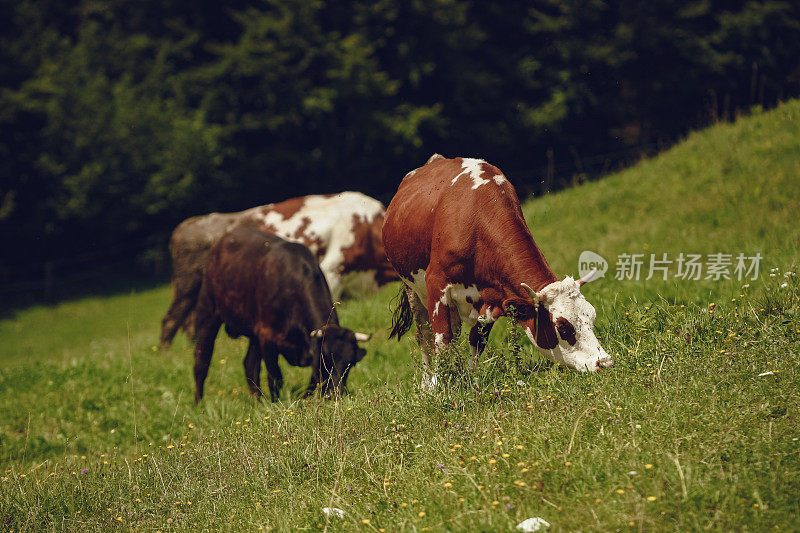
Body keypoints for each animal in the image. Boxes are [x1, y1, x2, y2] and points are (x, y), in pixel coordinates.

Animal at [192, 225, 370, 404]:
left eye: (350, 363)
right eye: (325, 359)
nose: (334, 394)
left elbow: (313, 382)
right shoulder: (268, 337)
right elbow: (276, 377)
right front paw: (275, 404)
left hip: (253, 330)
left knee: (249, 365)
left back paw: (257, 401)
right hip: (208, 311)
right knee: (202, 360)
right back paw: (199, 404)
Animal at [382, 152, 612, 384]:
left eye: (592, 317)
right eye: (563, 327)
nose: (604, 362)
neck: (475, 222)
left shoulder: (493, 296)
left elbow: (477, 340)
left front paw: (471, 380)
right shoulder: (436, 284)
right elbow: (441, 339)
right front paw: (438, 386)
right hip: (412, 288)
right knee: (424, 334)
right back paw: (427, 382)